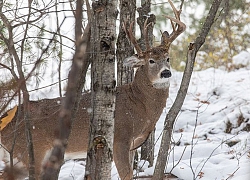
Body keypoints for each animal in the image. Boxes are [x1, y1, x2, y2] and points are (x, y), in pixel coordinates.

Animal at [0, 0, 185, 179]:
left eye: (168, 58)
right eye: (151, 61)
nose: (166, 72)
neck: (140, 105)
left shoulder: (133, 144)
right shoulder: (120, 139)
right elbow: (126, 175)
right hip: (30, 152)